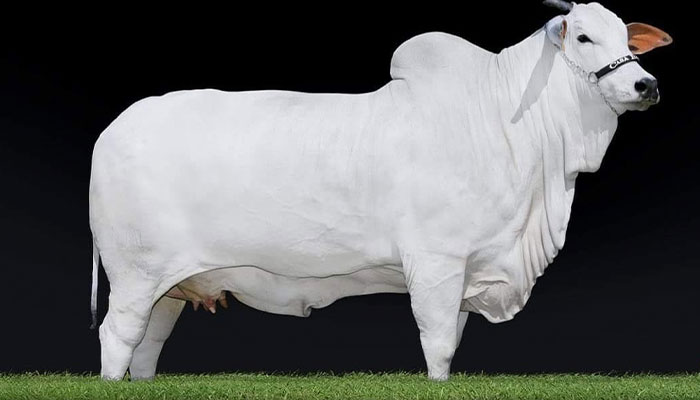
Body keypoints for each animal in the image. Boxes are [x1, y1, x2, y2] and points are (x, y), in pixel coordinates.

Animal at [89, 1, 672, 381]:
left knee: (148, 347)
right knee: (117, 338)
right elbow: (438, 344)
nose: (645, 85)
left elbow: (453, 338)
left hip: (170, 287)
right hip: (135, 275)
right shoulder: (436, 262)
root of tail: (114, 128)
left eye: (628, 39)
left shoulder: (470, 268)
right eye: (583, 37)